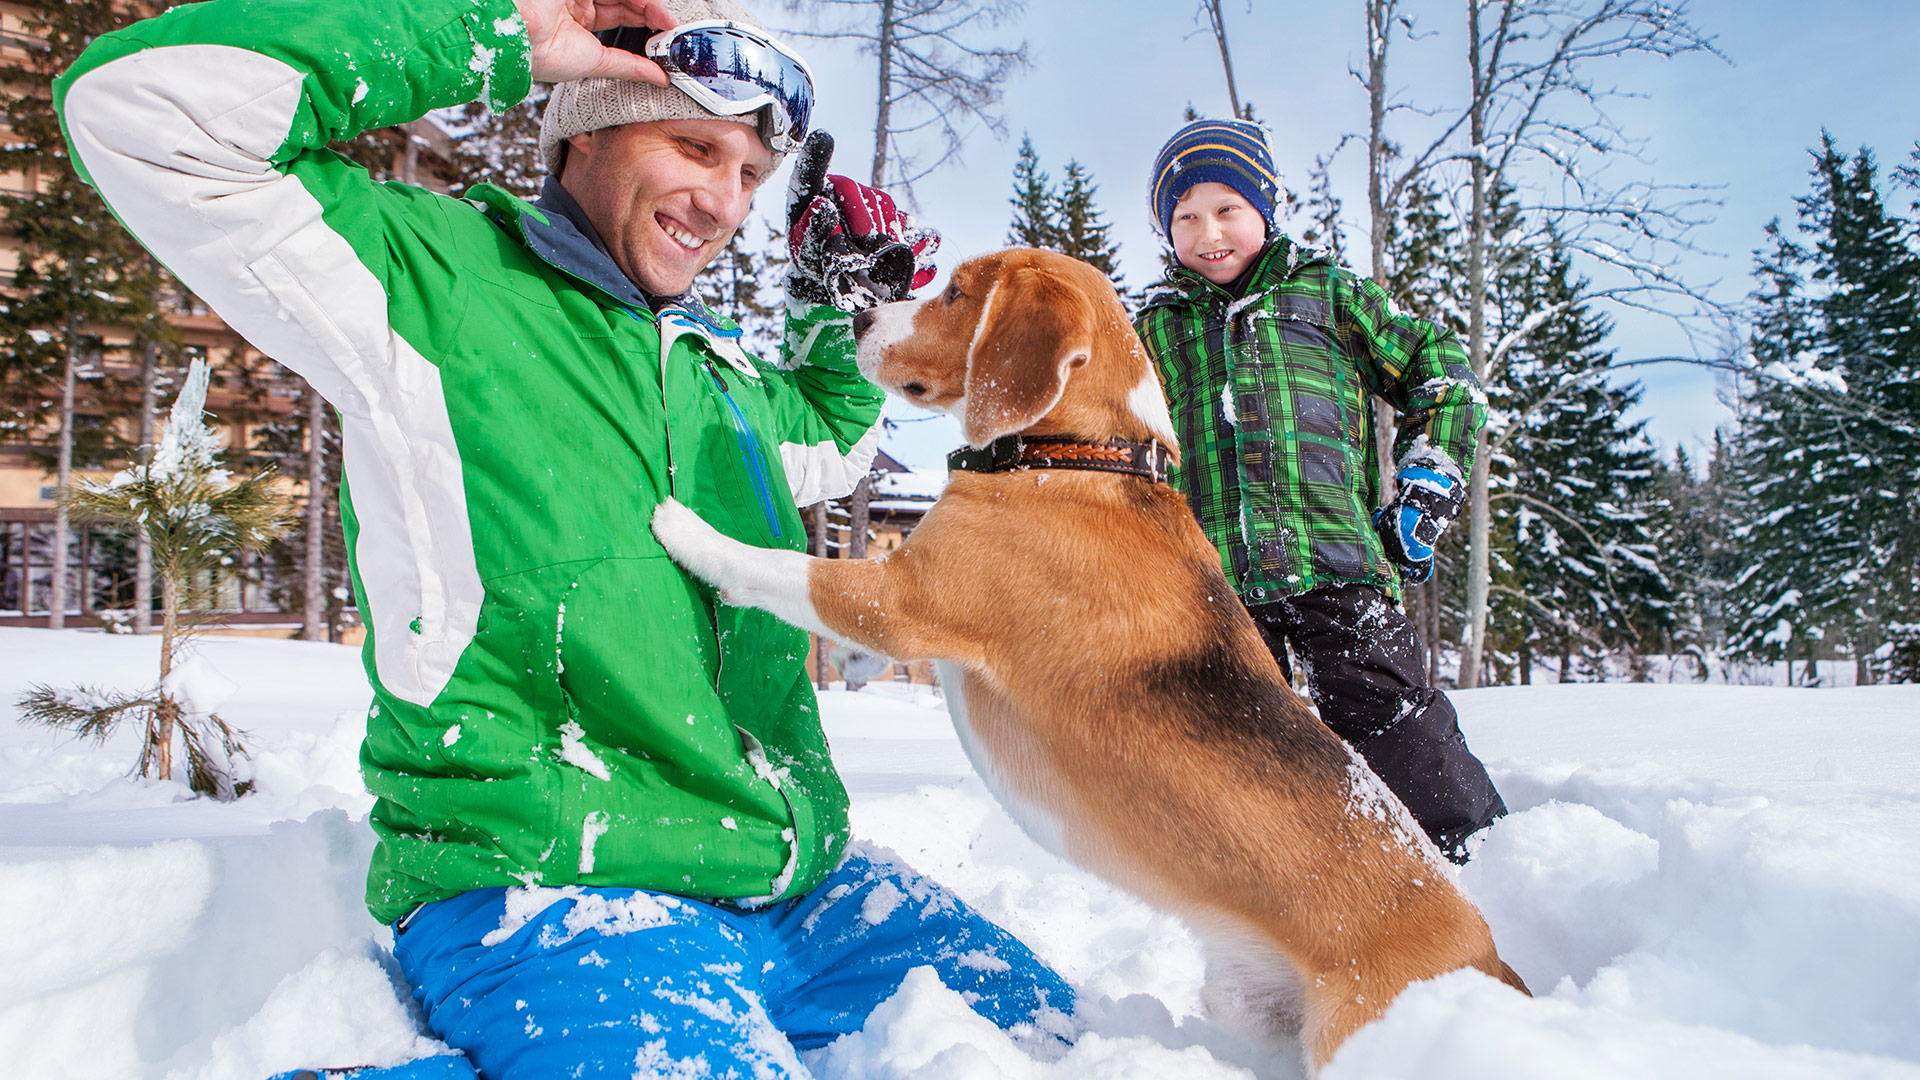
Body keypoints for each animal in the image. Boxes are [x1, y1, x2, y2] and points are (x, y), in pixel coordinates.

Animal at [656, 245, 1528, 1068]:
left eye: (956, 293)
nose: (862, 319)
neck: (1082, 453)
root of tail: (1493, 961)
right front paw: (857, 671)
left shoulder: (903, 600)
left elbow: (786, 571)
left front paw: (683, 530)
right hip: (1247, 1006)